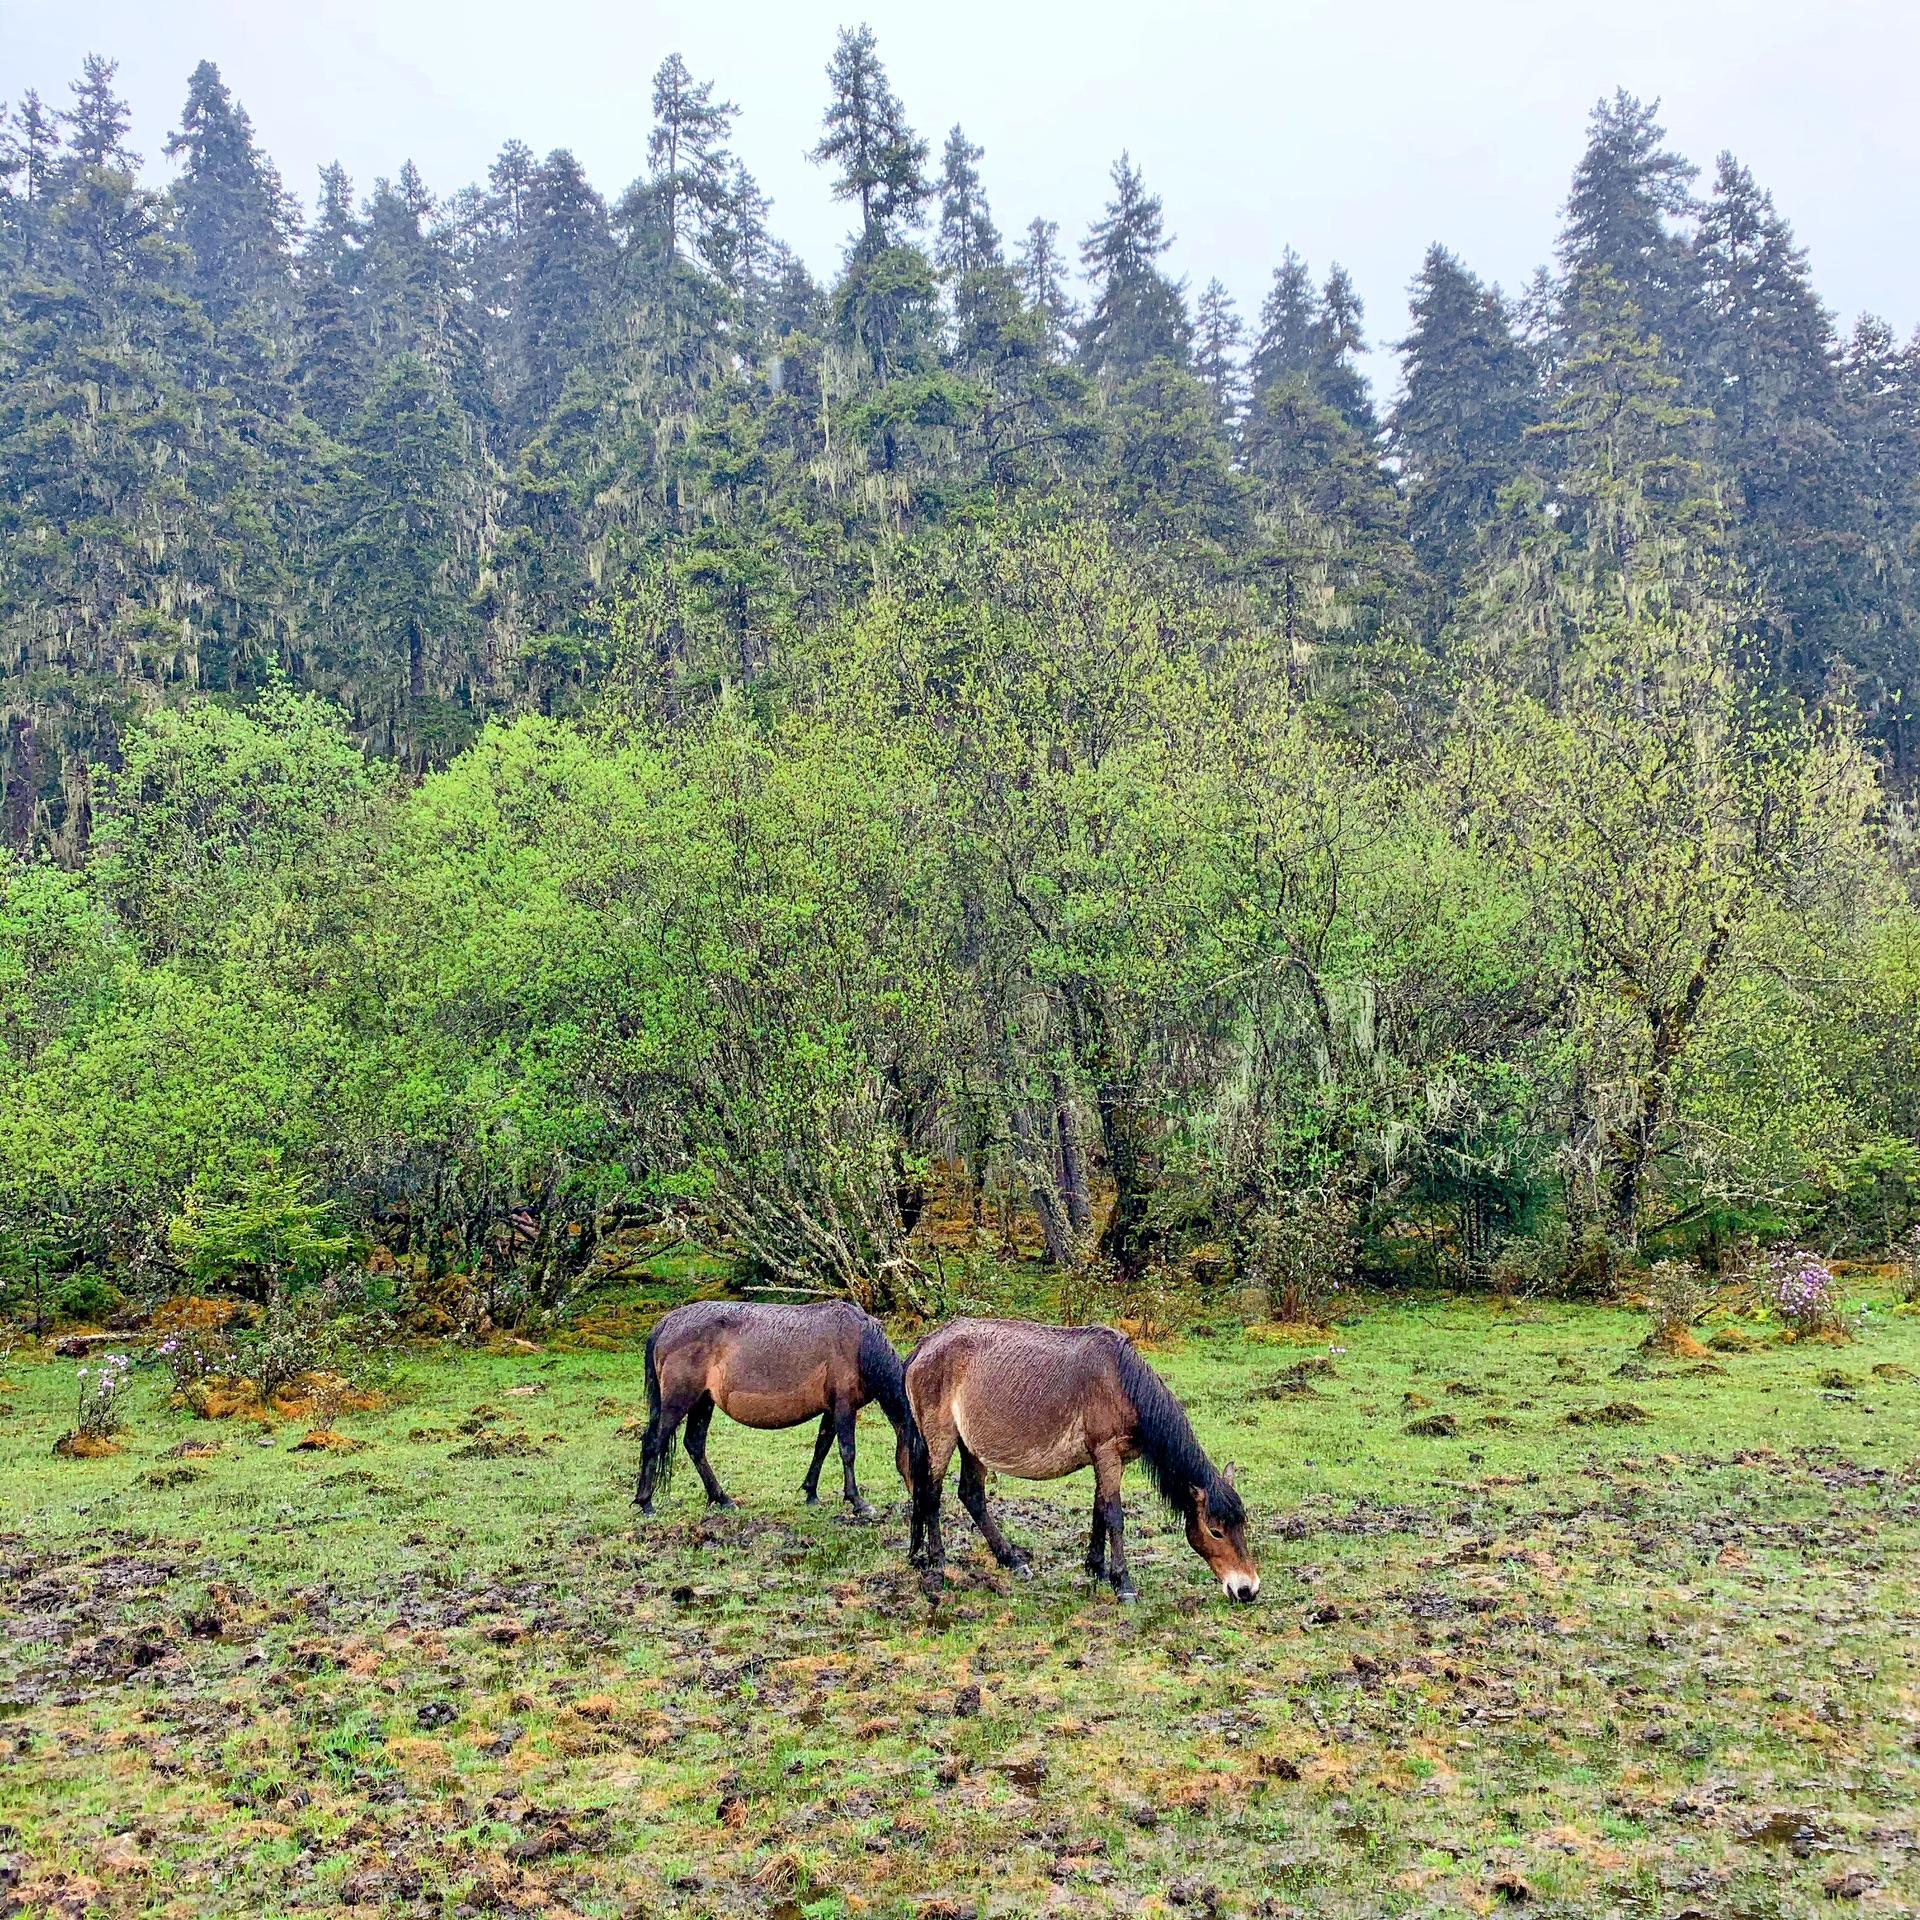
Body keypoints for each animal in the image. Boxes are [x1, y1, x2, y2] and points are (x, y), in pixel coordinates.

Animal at [637, 1305, 921, 1512]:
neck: (860, 1344)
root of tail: (665, 1324)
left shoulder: (830, 1410)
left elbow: (821, 1449)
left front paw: (811, 1493)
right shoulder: (843, 1406)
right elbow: (847, 1452)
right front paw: (858, 1502)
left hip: (702, 1402)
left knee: (694, 1444)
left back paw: (722, 1499)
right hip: (678, 1400)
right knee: (653, 1442)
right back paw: (646, 1503)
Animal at [902, 1320, 1259, 1605]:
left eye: (1241, 1524)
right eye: (1215, 1531)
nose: (1247, 1589)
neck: (1119, 1381)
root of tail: (925, 1346)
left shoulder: (1112, 1459)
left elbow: (1100, 1509)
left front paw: (1097, 1568)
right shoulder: (1107, 1452)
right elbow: (1115, 1515)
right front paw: (1124, 1584)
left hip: (972, 1447)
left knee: (971, 1496)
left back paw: (1012, 1561)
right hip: (942, 1439)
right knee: (931, 1494)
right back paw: (938, 1562)